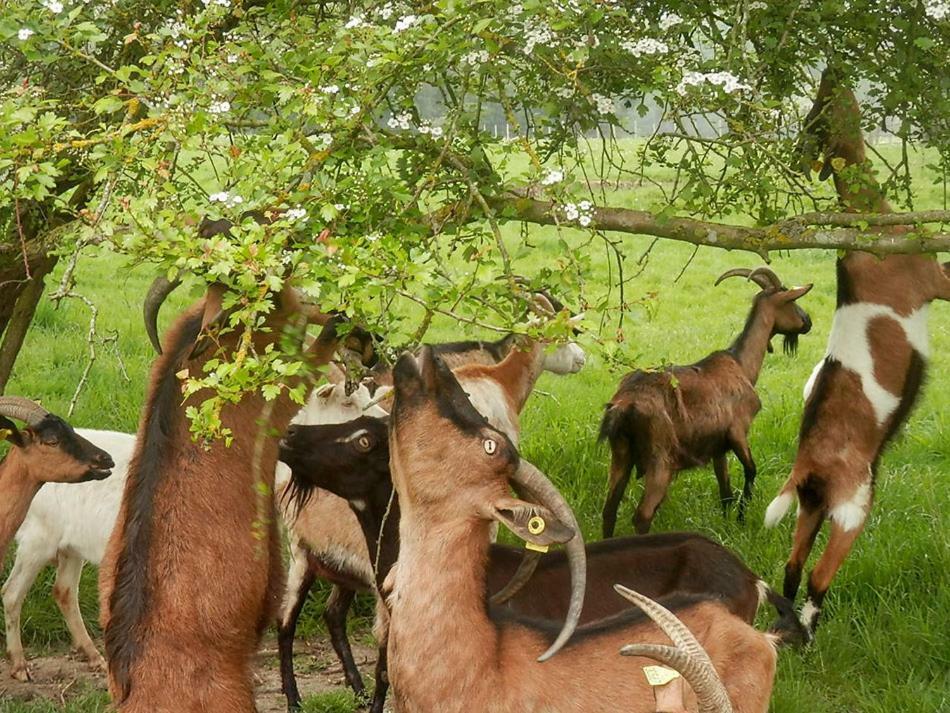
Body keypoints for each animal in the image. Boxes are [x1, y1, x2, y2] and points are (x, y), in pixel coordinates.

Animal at [604, 268, 812, 536]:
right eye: (792, 301)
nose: (808, 322)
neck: (741, 365)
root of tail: (624, 406)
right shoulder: (737, 432)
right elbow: (751, 470)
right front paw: (741, 519)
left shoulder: (718, 447)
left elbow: (725, 491)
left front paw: (727, 526)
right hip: (661, 461)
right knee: (642, 515)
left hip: (621, 454)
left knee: (609, 510)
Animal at [768, 67, 950, 636]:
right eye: (821, 111)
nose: (834, 70)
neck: (870, 220)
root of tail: (807, 471)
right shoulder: (934, 280)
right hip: (853, 506)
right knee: (817, 577)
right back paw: (805, 633)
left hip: (810, 509)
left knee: (791, 566)